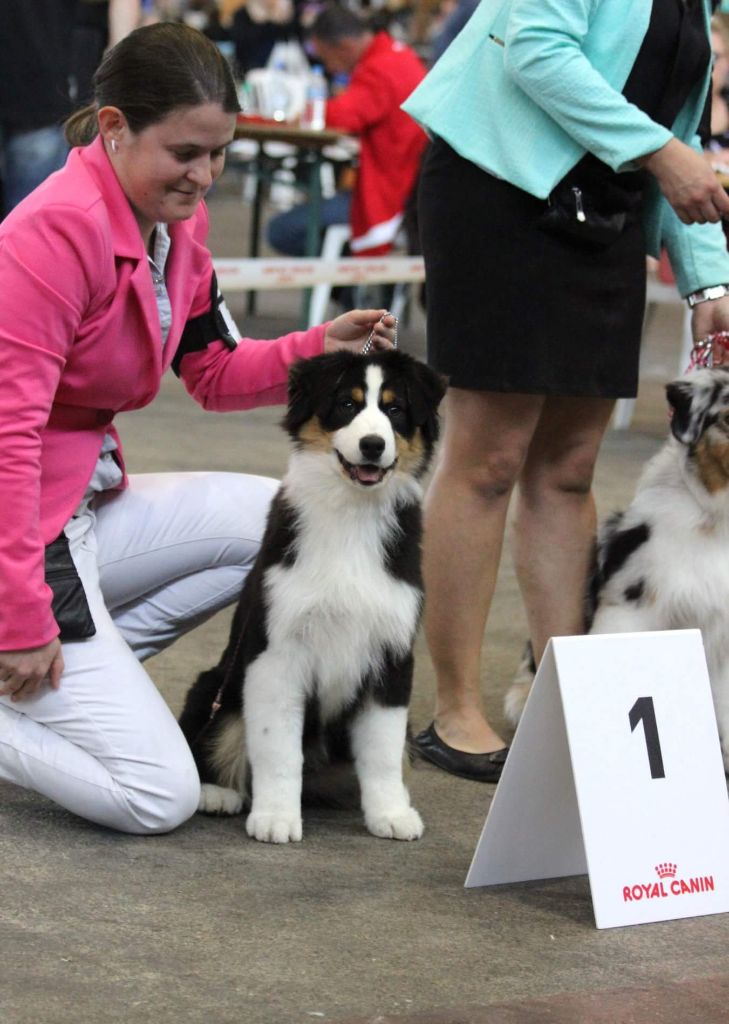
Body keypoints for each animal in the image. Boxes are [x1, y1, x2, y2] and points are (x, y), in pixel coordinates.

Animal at [179, 348, 446, 843]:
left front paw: (391, 814)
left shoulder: (393, 654)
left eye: (395, 410)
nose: (373, 445)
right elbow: (278, 749)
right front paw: (276, 819)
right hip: (217, 683)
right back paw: (217, 792)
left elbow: (383, 750)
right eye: (347, 404)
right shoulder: (277, 652)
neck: (351, 516)